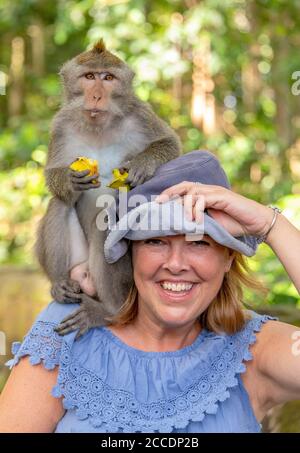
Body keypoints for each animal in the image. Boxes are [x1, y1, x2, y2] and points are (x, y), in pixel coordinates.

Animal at [34, 39, 180, 336]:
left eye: (108, 78)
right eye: (90, 77)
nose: (97, 96)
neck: (98, 126)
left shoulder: (140, 114)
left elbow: (171, 145)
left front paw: (142, 164)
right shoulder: (61, 124)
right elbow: (53, 175)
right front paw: (69, 180)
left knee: (105, 222)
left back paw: (108, 312)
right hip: (78, 267)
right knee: (60, 203)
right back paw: (60, 284)